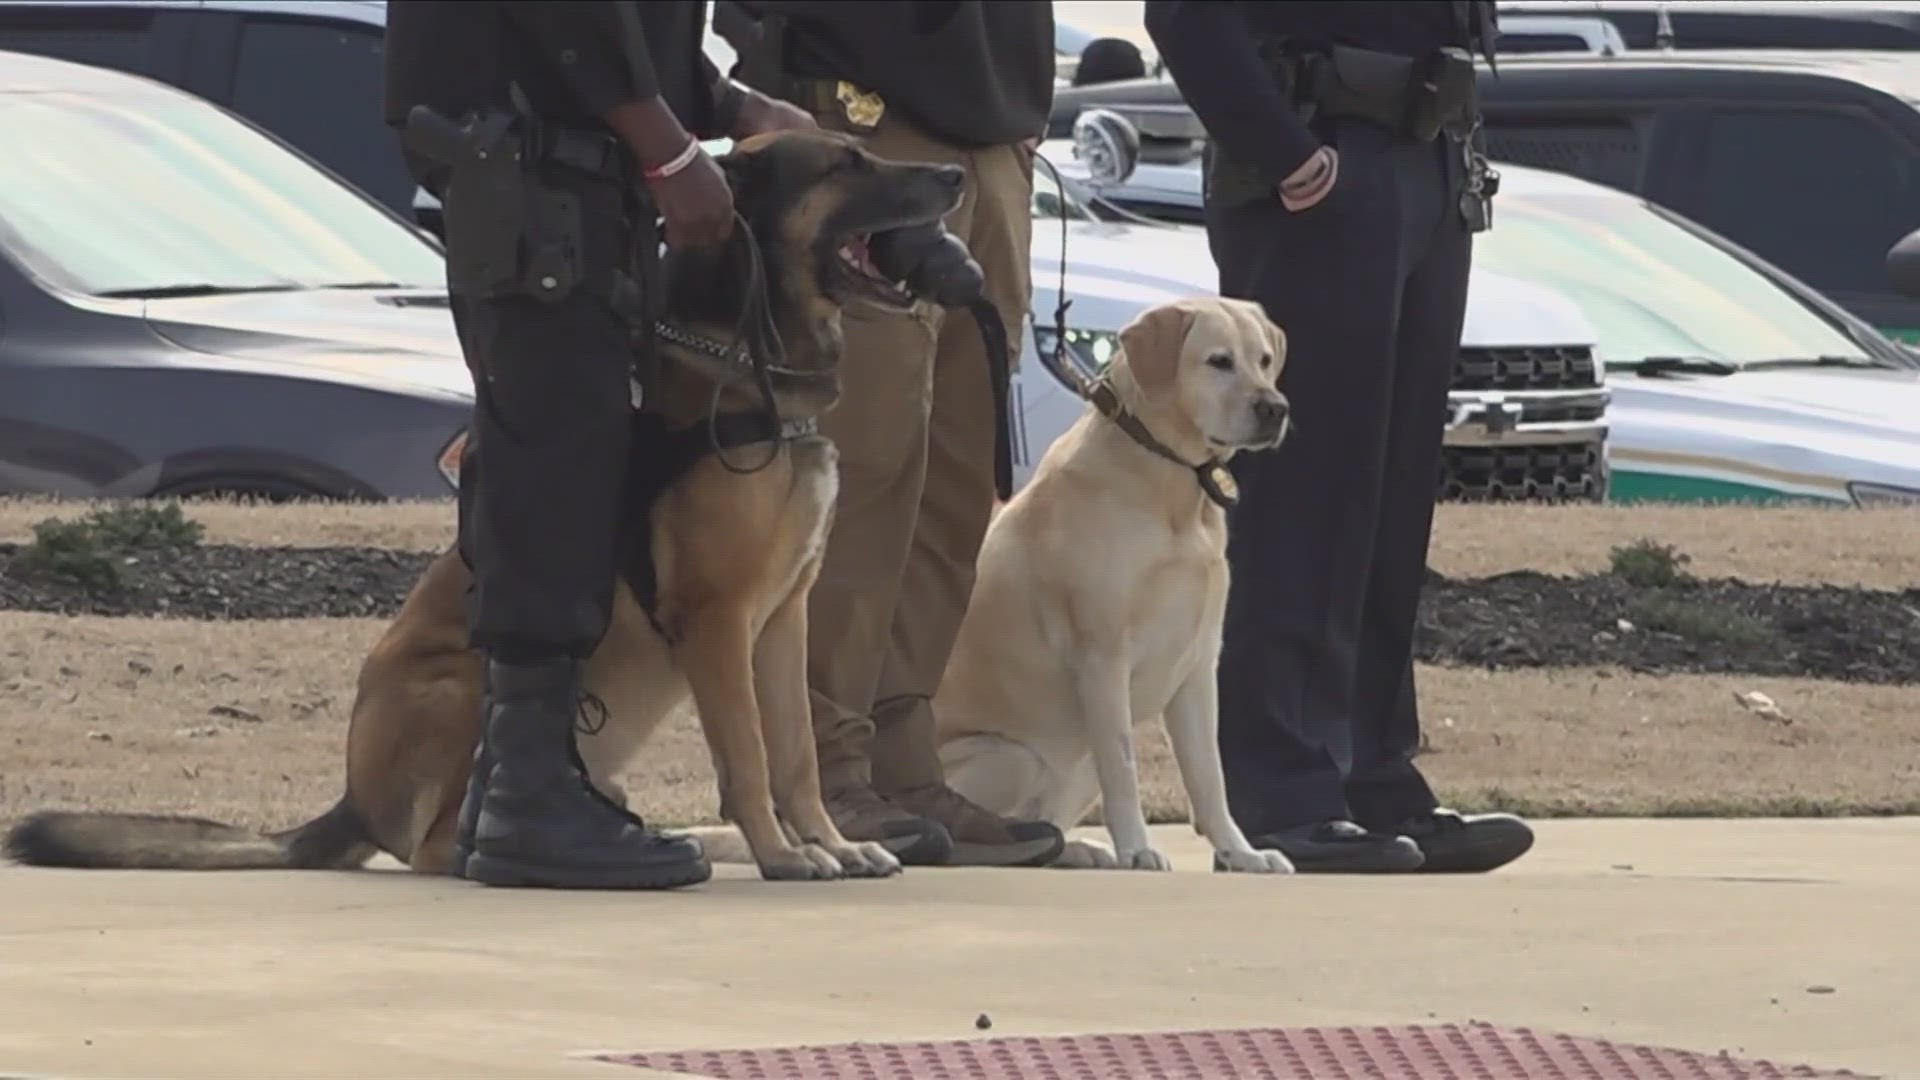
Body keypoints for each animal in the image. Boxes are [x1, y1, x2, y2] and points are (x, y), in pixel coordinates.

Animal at [7, 130, 975, 880]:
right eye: (847, 162)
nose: (957, 176)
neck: (744, 371)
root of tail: (353, 803)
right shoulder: (717, 621)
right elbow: (746, 753)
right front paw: (782, 853)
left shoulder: (780, 619)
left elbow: (795, 753)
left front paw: (827, 843)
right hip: (464, 683)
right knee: (444, 841)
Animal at [936, 294, 1297, 864]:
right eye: (1219, 361)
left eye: (1264, 360)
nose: (1275, 409)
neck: (1171, 487)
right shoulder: (1102, 657)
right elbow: (1124, 770)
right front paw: (1137, 850)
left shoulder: (1198, 664)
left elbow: (1210, 778)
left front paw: (1241, 855)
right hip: (1014, 756)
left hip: (1074, 765)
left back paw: (1080, 850)